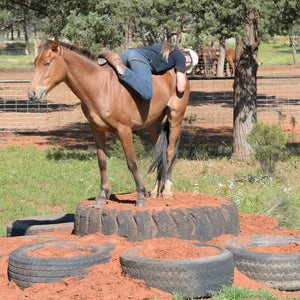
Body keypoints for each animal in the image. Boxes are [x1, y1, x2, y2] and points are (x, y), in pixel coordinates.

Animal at [28, 37, 190, 207]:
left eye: (47, 63)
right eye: (35, 63)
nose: (32, 94)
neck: (101, 87)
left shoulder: (124, 130)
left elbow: (131, 162)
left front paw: (140, 195)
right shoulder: (97, 130)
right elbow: (102, 162)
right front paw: (102, 195)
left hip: (175, 118)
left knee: (169, 152)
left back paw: (167, 191)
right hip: (153, 126)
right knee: (160, 153)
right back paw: (155, 191)